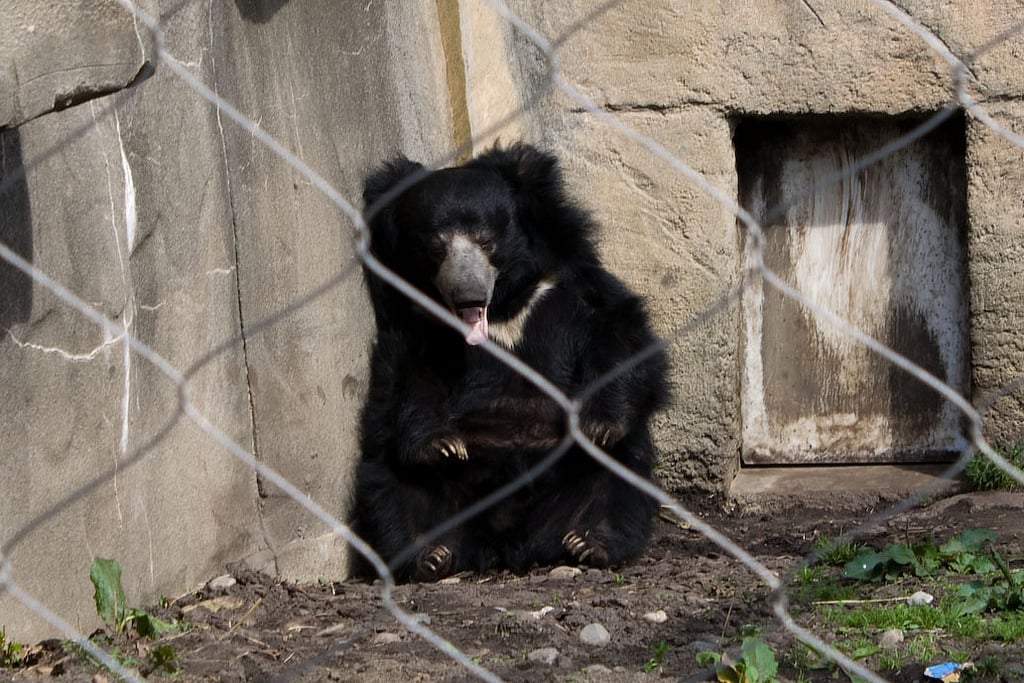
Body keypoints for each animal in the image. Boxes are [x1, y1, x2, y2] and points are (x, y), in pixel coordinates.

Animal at [352, 143, 671, 581]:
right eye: (436, 246)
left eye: (486, 241)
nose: (468, 294)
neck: (503, 306)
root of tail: (509, 546)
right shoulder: (415, 321)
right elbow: (407, 377)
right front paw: (442, 445)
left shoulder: (569, 283)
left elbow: (617, 331)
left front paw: (598, 424)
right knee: (390, 483)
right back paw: (430, 554)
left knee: (621, 471)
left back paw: (591, 542)